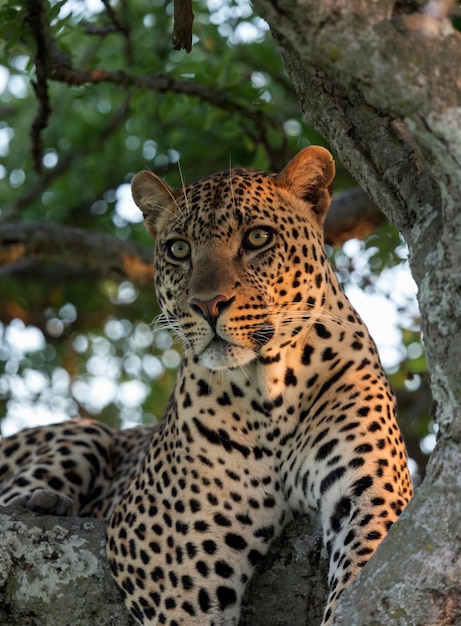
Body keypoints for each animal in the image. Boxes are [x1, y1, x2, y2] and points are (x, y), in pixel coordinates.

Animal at [0, 144, 410, 620]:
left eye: (257, 238)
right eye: (179, 249)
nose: (207, 305)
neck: (271, 390)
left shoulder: (371, 494)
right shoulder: (169, 558)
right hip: (85, 434)